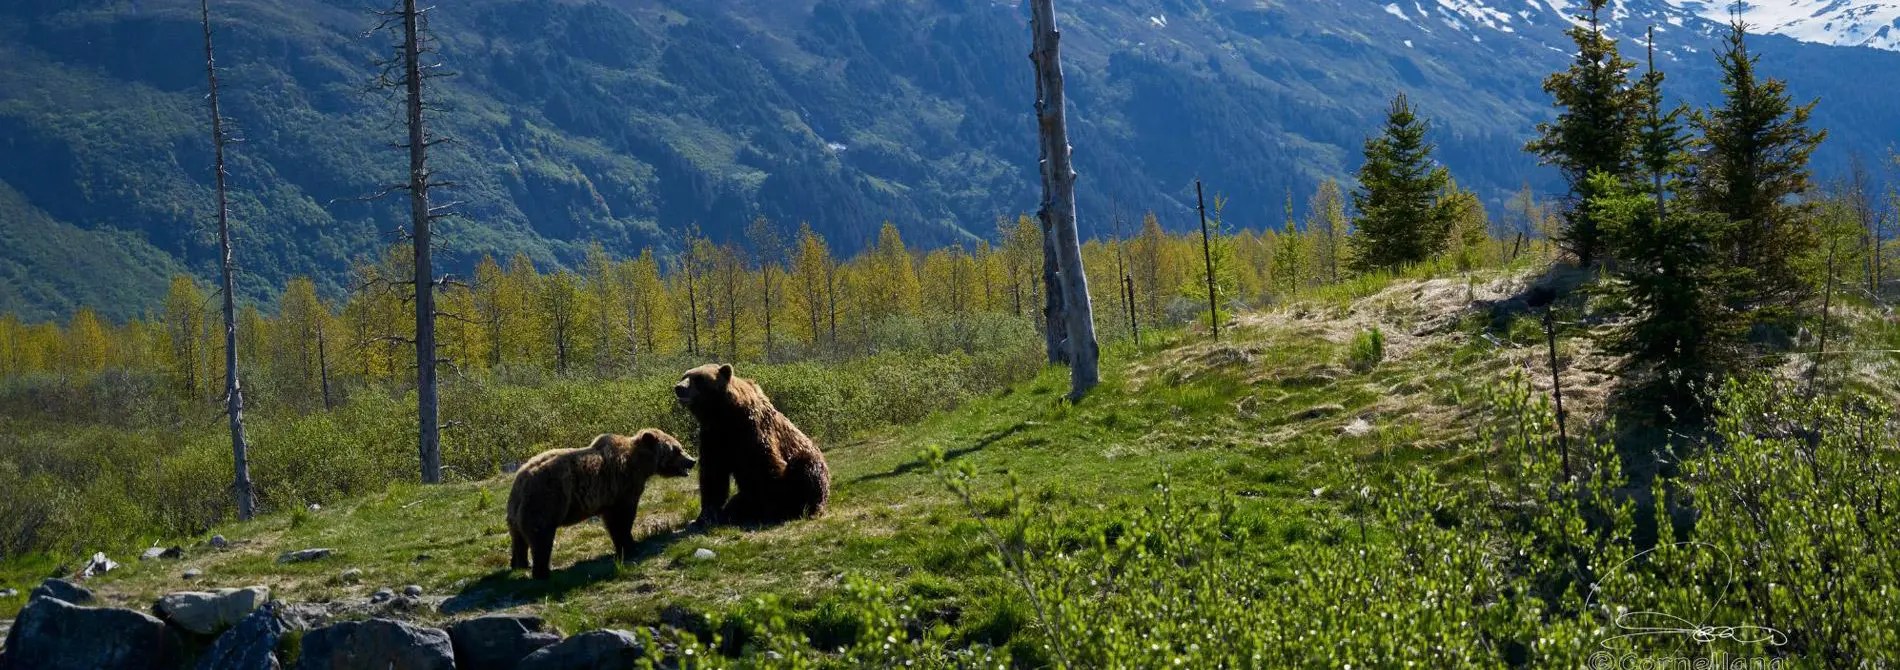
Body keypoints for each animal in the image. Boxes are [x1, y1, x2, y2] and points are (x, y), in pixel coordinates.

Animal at [506, 429, 696, 579]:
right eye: (677, 449)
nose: (692, 460)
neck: (640, 465)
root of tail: (521, 479)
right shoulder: (622, 486)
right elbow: (622, 518)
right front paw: (630, 545)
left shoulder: (609, 497)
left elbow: (612, 522)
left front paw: (623, 546)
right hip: (546, 499)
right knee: (541, 535)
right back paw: (543, 572)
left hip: (516, 511)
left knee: (518, 538)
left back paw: (520, 564)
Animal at [673, 363, 831, 526]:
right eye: (684, 376)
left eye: (699, 378)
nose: (678, 388)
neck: (723, 414)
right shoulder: (713, 437)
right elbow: (713, 474)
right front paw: (705, 516)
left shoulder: (752, 430)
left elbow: (766, 465)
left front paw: (775, 508)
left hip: (810, 468)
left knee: (805, 467)